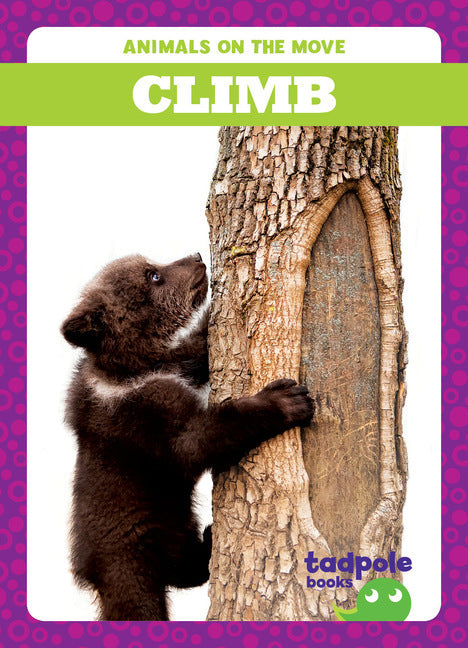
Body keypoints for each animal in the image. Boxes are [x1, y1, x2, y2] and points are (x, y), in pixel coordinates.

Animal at [61, 252, 314, 621]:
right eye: (152, 276)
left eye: (152, 264)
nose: (196, 257)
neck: (132, 369)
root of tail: (89, 574)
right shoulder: (141, 415)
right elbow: (196, 440)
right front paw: (286, 399)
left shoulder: (171, 366)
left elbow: (194, 352)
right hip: (130, 555)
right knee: (144, 601)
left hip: (172, 522)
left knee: (181, 567)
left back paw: (207, 542)